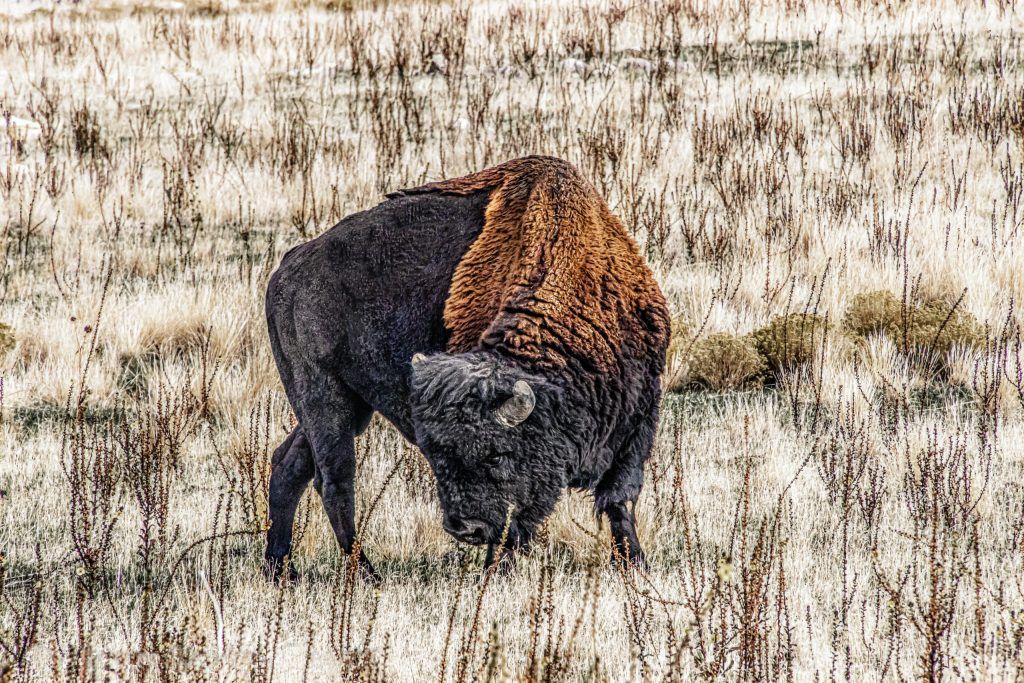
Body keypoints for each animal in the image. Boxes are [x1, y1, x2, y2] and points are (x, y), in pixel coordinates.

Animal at [263, 156, 670, 580]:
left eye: (496, 456)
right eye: (437, 456)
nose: (466, 529)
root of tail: (288, 268)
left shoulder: (638, 419)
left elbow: (620, 498)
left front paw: (635, 564)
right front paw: (497, 570)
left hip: (351, 404)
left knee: (289, 463)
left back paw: (280, 569)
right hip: (323, 396)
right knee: (334, 479)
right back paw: (364, 572)